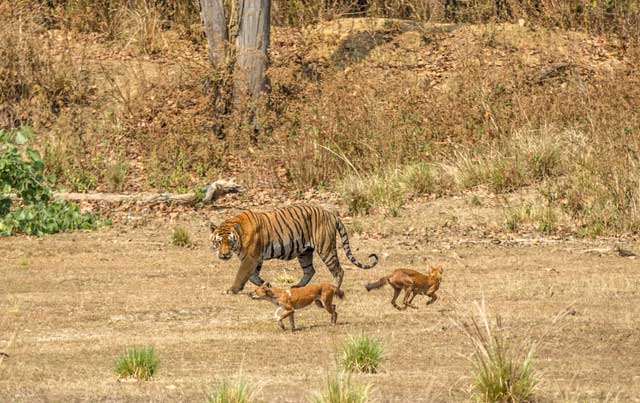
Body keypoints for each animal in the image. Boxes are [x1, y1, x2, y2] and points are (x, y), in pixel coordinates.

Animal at [210, 207, 380, 296]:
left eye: (229, 241)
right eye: (219, 242)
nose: (224, 255)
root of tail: (331, 214)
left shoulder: (250, 258)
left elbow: (242, 275)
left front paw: (232, 289)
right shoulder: (255, 259)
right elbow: (253, 276)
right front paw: (266, 284)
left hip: (325, 248)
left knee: (338, 270)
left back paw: (335, 289)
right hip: (304, 252)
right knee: (310, 270)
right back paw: (297, 287)